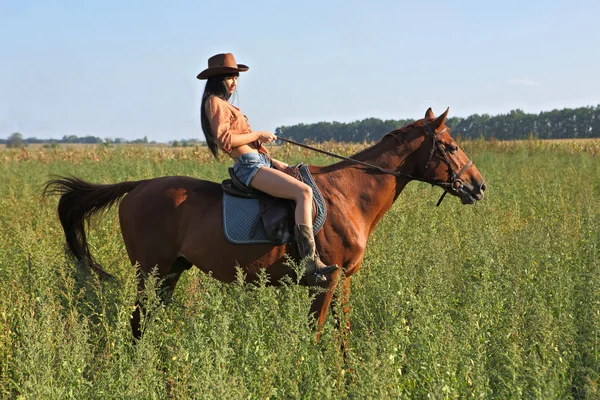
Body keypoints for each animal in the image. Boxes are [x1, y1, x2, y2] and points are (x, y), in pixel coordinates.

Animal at [44, 109, 486, 340]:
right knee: (137, 322)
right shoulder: (326, 280)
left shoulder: (342, 281)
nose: (478, 186)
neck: (350, 193)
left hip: (169, 272)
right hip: (150, 270)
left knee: (147, 321)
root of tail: (138, 186)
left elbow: (340, 335)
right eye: (450, 146)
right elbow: (317, 334)